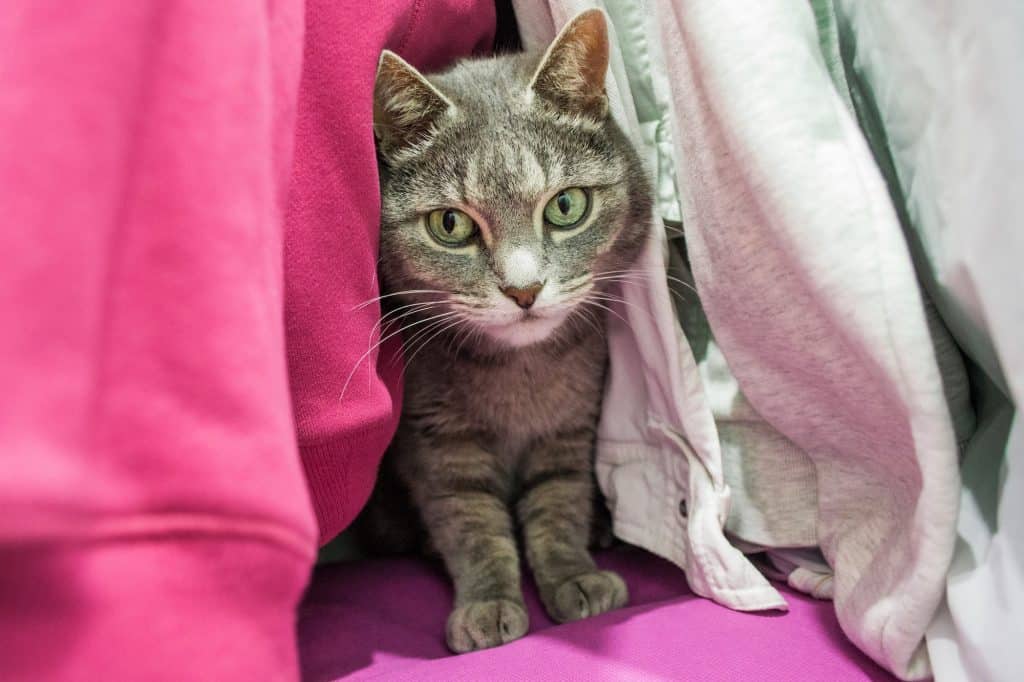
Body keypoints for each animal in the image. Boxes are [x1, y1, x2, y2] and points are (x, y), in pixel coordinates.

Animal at [360, 9, 647, 647]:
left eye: (566, 207)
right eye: (450, 225)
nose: (523, 290)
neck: (522, 373)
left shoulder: (570, 428)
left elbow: (559, 503)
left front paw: (575, 576)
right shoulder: (438, 443)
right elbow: (471, 525)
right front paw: (488, 604)